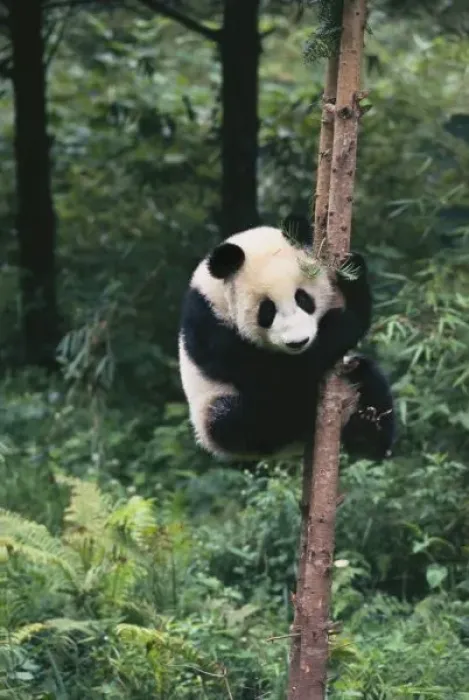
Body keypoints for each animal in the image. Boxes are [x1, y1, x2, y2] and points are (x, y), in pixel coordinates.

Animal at [178, 225, 395, 463]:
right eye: (267, 310)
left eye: (303, 298)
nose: (298, 342)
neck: (215, 295)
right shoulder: (213, 332)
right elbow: (282, 374)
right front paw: (344, 322)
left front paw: (352, 270)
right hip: (215, 415)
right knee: (250, 415)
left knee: (368, 377)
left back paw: (367, 431)